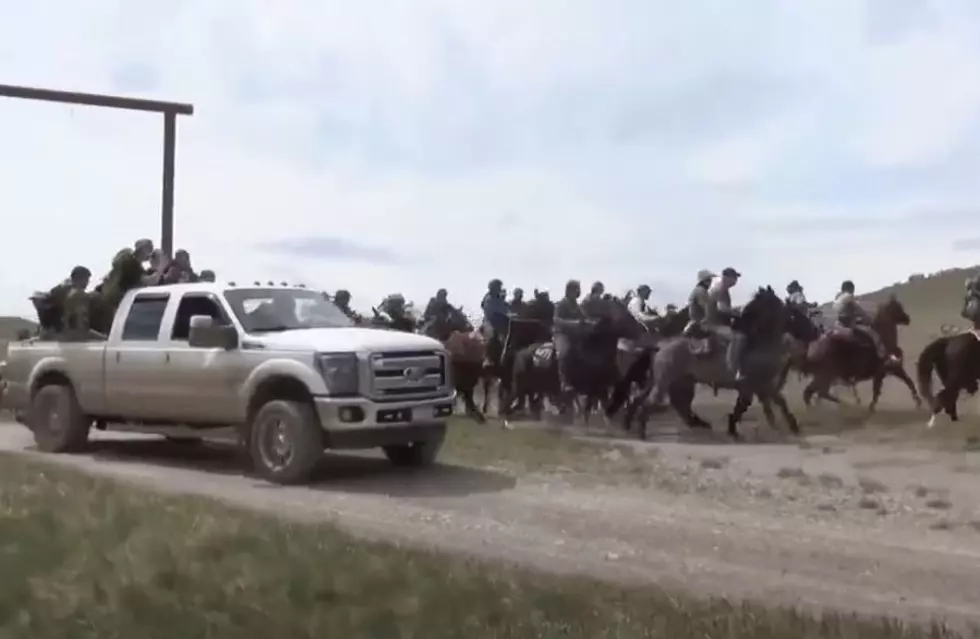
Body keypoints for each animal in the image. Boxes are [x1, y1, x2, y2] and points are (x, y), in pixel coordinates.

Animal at [628, 288, 820, 442]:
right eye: (793, 314)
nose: (816, 331)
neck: (756, 342)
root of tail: (661, 344)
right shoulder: (753, 385)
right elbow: (745, 406)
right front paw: (733, 429)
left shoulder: (762, 385)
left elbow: (778, 402)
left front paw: (791, 426)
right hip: (665, 381)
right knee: (652, 402)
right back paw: (641, 431)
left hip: (673, 381)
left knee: (661, 402)